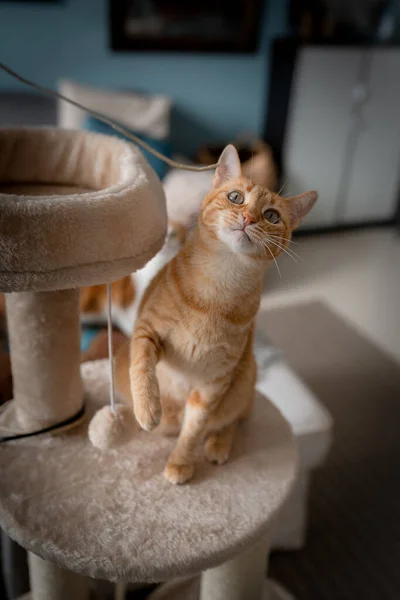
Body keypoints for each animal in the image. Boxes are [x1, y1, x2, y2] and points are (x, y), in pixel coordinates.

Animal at [114, 148, 318, 486]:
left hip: (243, 380)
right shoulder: (147, 329)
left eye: (272, 216)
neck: (220, 284)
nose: (248, 218)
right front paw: (148, 409)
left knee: (231, 419)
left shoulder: (213, 383)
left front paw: (181, 463)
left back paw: (218, 444)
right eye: (236, 197)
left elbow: (193, 429)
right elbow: (143, 367)